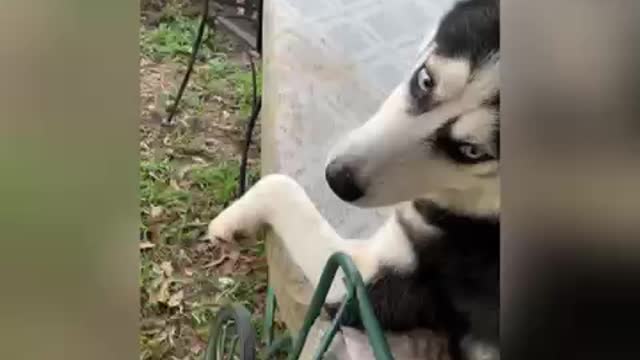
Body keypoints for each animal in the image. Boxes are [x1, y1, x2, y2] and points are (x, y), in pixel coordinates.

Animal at [210, 0, 500, 358]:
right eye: (425, 80)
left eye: (472, 151)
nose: (338, 180)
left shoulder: (361, 285)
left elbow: (284, 186)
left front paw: (233, 219)